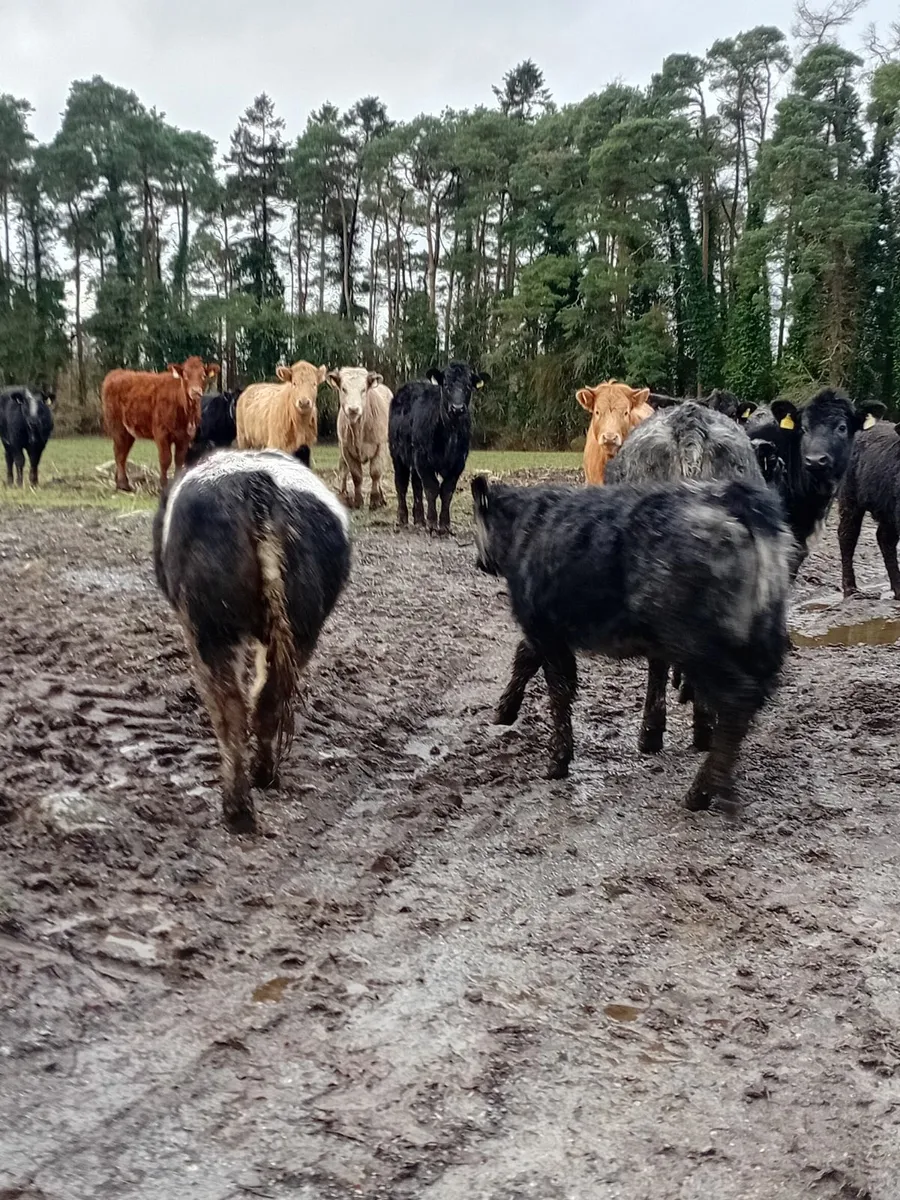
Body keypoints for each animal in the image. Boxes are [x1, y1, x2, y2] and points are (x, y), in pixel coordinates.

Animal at [102, 356, 220, 492]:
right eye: (185, 375)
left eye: (203, 375)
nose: (195, 391)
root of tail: (116, 372)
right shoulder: (161, 433)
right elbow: (165, 459)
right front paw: (163, 485)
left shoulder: (184, 437)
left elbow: (179, 460)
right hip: (118, 428)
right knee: (119, 454)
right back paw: (123, 484)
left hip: (128, 432)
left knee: (123, 453)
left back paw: (119, 482)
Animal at [153, 446, 350, 833]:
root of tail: (256, 487)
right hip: (298, 627)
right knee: (265, 701)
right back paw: (259, 786)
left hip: (208, 628)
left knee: (230, 710)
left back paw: (239, 806)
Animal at [326, 367, 392, 509]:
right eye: (343, 389)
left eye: (363, 389)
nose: (353, 409)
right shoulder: (345, 449)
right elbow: (356, 476)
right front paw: (357, 501)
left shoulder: (381, 446)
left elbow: (376, 473)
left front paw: (375, 500)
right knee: (343, 469)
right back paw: (343, 494)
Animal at [389, 361, 488, 534]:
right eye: (446, 385)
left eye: (468, 386)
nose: (457, 408)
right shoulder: (423, 459)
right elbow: (432, 488)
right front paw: (432, 523)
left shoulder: (458, 462)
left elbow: (447, 491)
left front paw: (445, 525)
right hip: (397, 455)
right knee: (401, 484)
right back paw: (402, 519)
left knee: (416, 486)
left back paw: (419, 520)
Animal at [472, 474, 791, 813]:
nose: (479, 562)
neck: (526, 524)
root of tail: (735, 499)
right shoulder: (546, 631)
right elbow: (525, 658)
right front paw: (505, 710)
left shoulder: (544, 628)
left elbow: (558, 692)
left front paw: (557, 760)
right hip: (755, 637)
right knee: (749, 699)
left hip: (695, 643)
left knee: (736, 700)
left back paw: (701, 792)